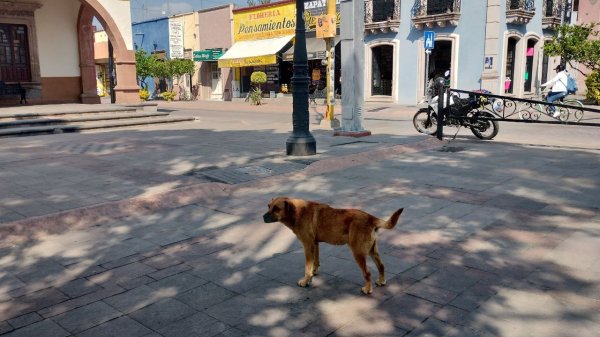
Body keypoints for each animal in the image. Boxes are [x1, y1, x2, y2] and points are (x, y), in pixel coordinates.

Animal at [262, 196, 404, 292]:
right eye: (268, 206)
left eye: (276, 209)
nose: (263, 217)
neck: (297, 212)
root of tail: (371, 218)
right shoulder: (315, 244)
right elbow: (315, 262)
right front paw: (313, 274)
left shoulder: (307, 245)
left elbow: (307, 267)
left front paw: (306, 281)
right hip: (372, 250)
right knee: (381, 266)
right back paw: (381, 281)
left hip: (358, 252)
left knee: (367, 272)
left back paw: (367, 289)